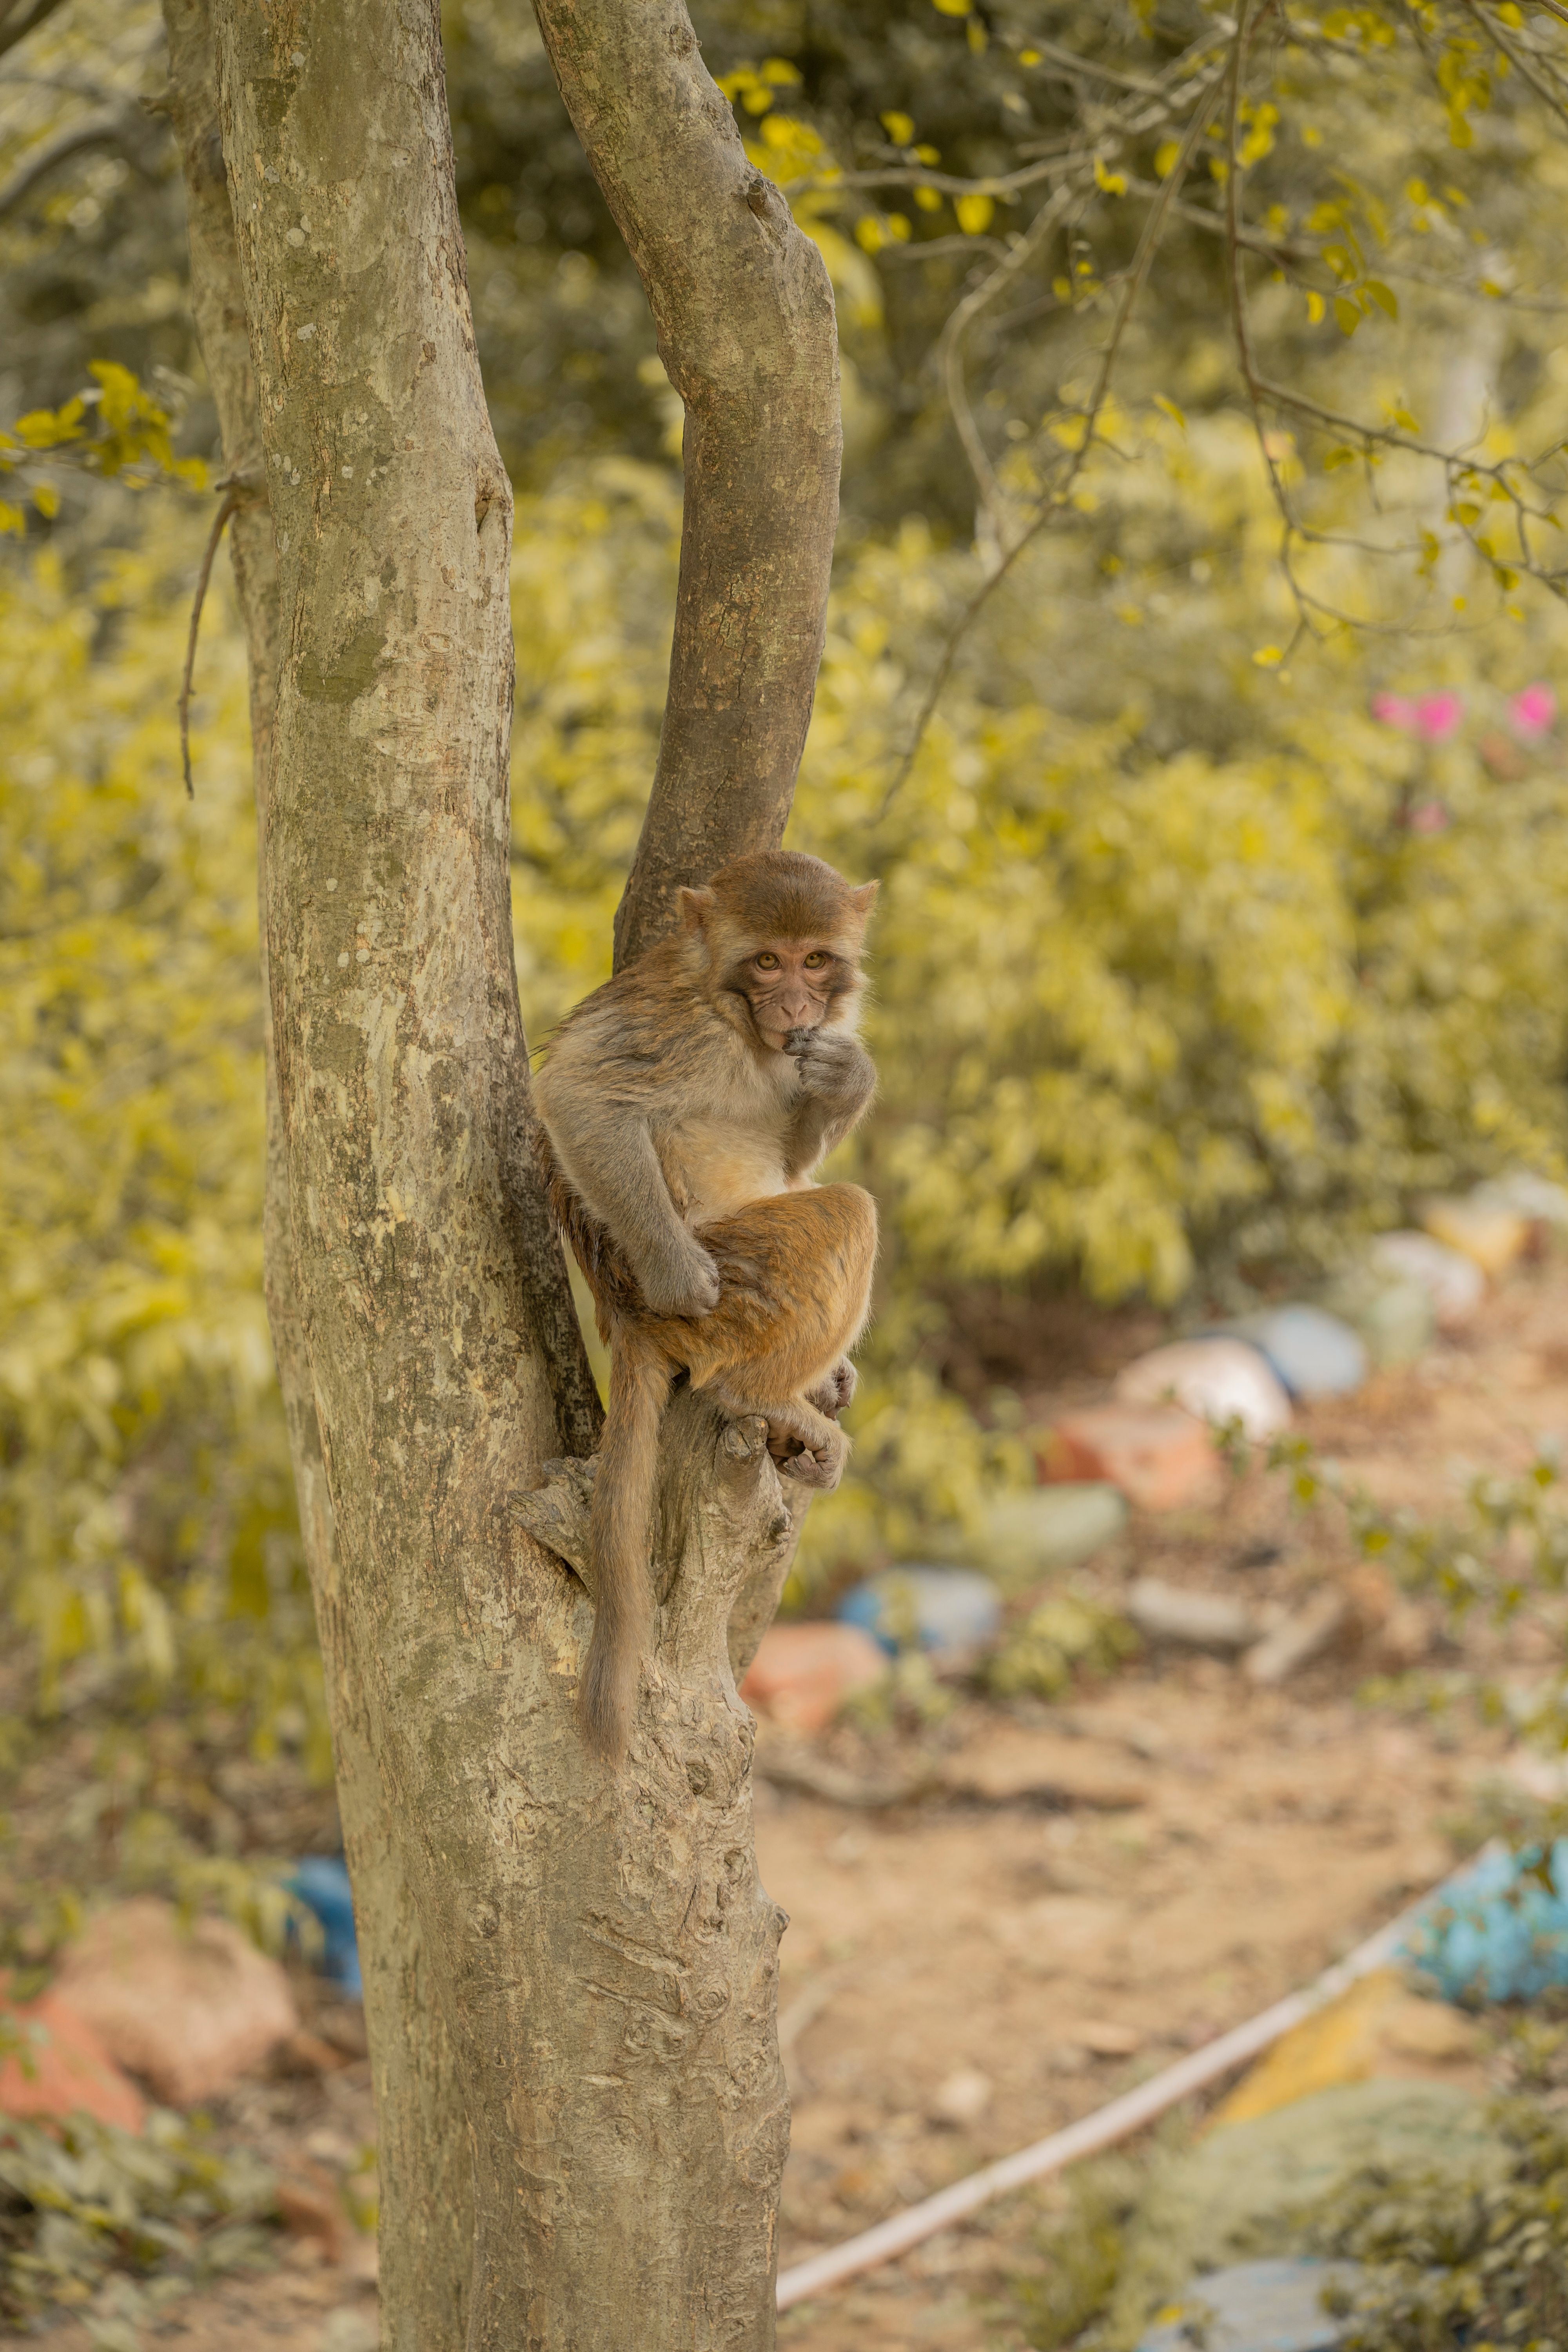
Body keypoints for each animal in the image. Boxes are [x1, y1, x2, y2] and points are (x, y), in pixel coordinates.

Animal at [532, 850, 880, 1765]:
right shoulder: (679, 1026)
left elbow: (796, 1146)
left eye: (814, 959)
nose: (794, 1006)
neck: (732, 1013)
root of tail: (628, 1320)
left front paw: (848, 1078)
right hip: (743, 1284)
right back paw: (756, 1394)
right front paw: (676, 1269)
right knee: (845, 1212)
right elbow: (576, 1092)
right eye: (765, 962)